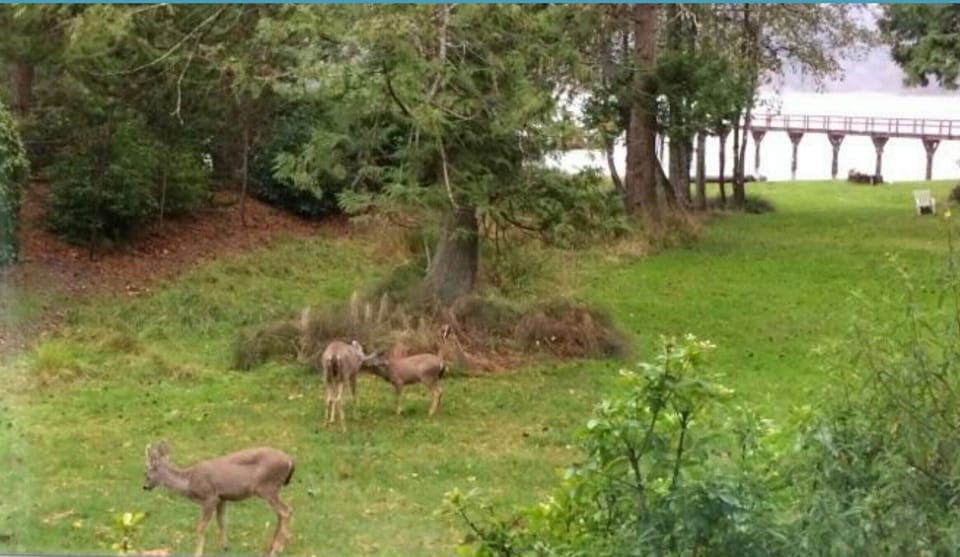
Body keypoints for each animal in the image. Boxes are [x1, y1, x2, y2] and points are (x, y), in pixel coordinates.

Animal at [143, 440, 295, 557]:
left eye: (146, 472)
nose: (145, 487)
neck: (189, 481)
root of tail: (290, 460)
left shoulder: (209, 497)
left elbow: (200, 526)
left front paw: (197, 553)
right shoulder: (222, 498)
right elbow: (222, 522)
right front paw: (224, 547)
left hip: (267, 487)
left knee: (286, 511)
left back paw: (276, 550)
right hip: (272, 489)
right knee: (281, 513)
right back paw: (271, 546)